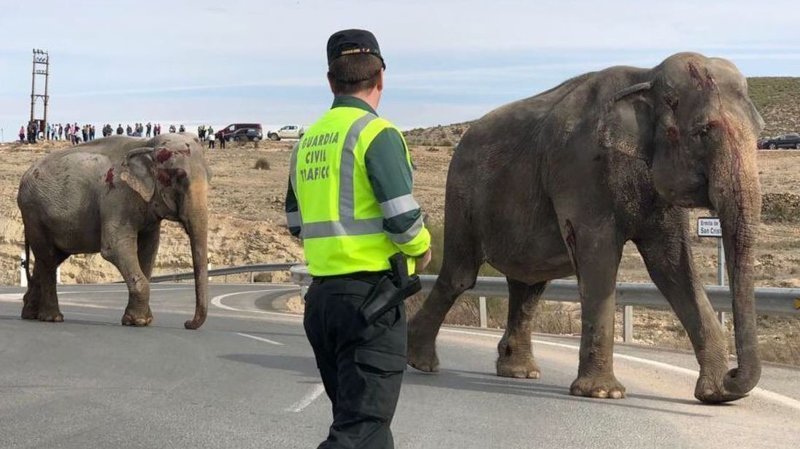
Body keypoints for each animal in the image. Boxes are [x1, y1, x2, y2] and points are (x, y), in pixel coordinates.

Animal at [17, 133, 211, 328]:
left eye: (210, 177)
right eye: (180, 176)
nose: (187, 323)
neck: (146, 143)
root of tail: (25, 175)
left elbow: (149, 249)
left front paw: (143, 319)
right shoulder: (117, 196)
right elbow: (115, 248)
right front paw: (138, 321)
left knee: (49, 258)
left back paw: (30, 314)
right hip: (33, 214)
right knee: (48, 258)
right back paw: (52, 317)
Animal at [410, 51, 764, 402]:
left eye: (760, 132)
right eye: (703, 131)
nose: (733, 375)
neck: (647, 76)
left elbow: (673, 268)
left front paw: (715, 394)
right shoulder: (581, 169)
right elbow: (599, 258)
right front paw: (604, 393)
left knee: (529, 286)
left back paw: (520, 372)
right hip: (461, 195)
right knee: (461, 275)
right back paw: (421, 361)